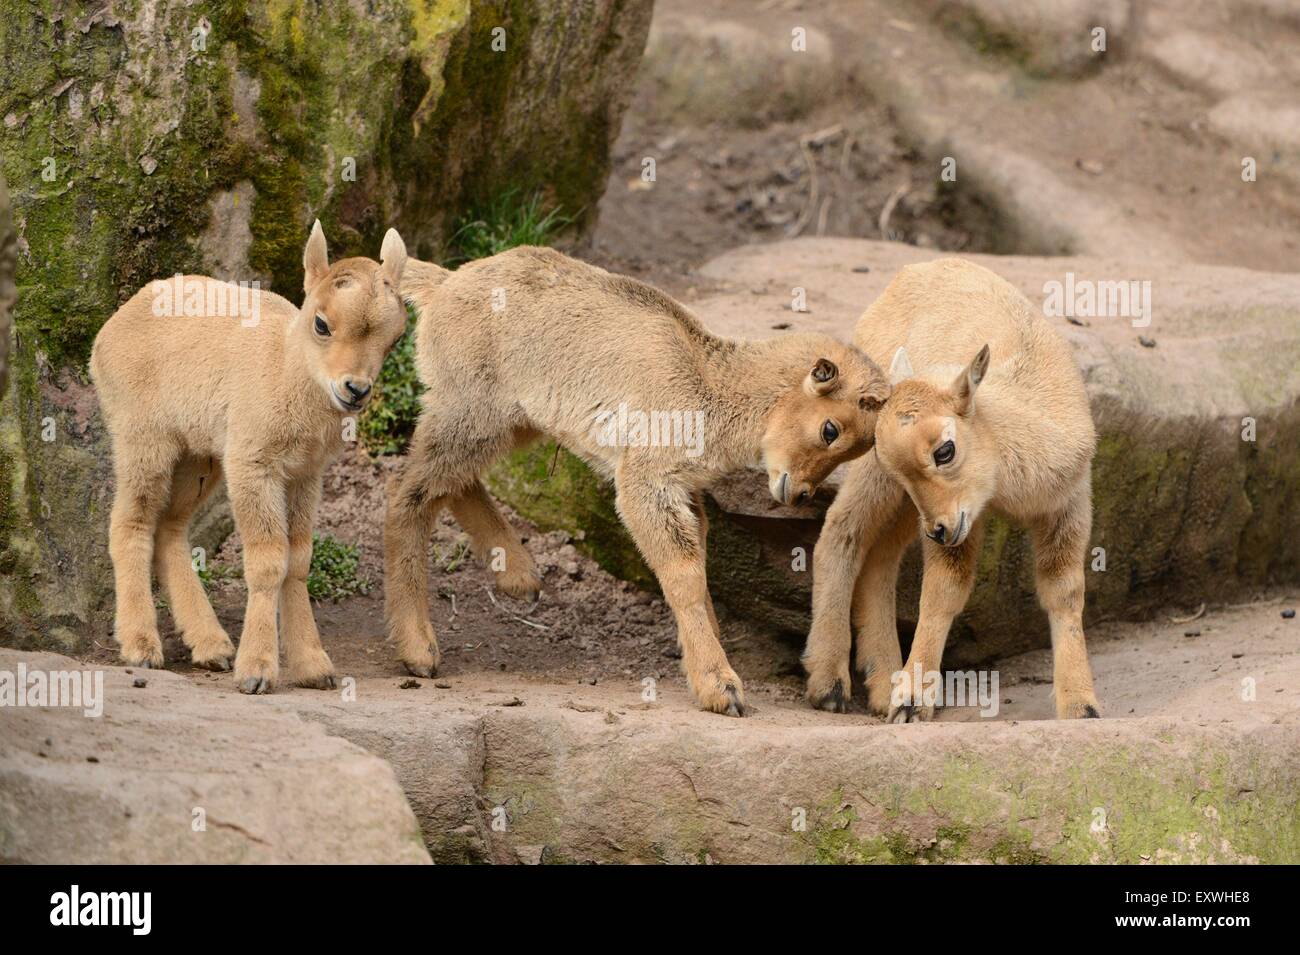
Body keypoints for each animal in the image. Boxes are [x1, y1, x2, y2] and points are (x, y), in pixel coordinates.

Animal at [92, 222, 405, 696]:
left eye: (395, 338)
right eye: (321, 323)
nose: (355, 389)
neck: (285, 369)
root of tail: (108, 332)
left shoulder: (305, 474)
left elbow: (299, 558)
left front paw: (313, 666)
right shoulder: (253, 465)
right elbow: (268, 561)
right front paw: (257, 670)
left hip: (200, 458)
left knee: (170, 529)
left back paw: (211, 645)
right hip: (142, 439)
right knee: (131, 522)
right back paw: (141, 645)